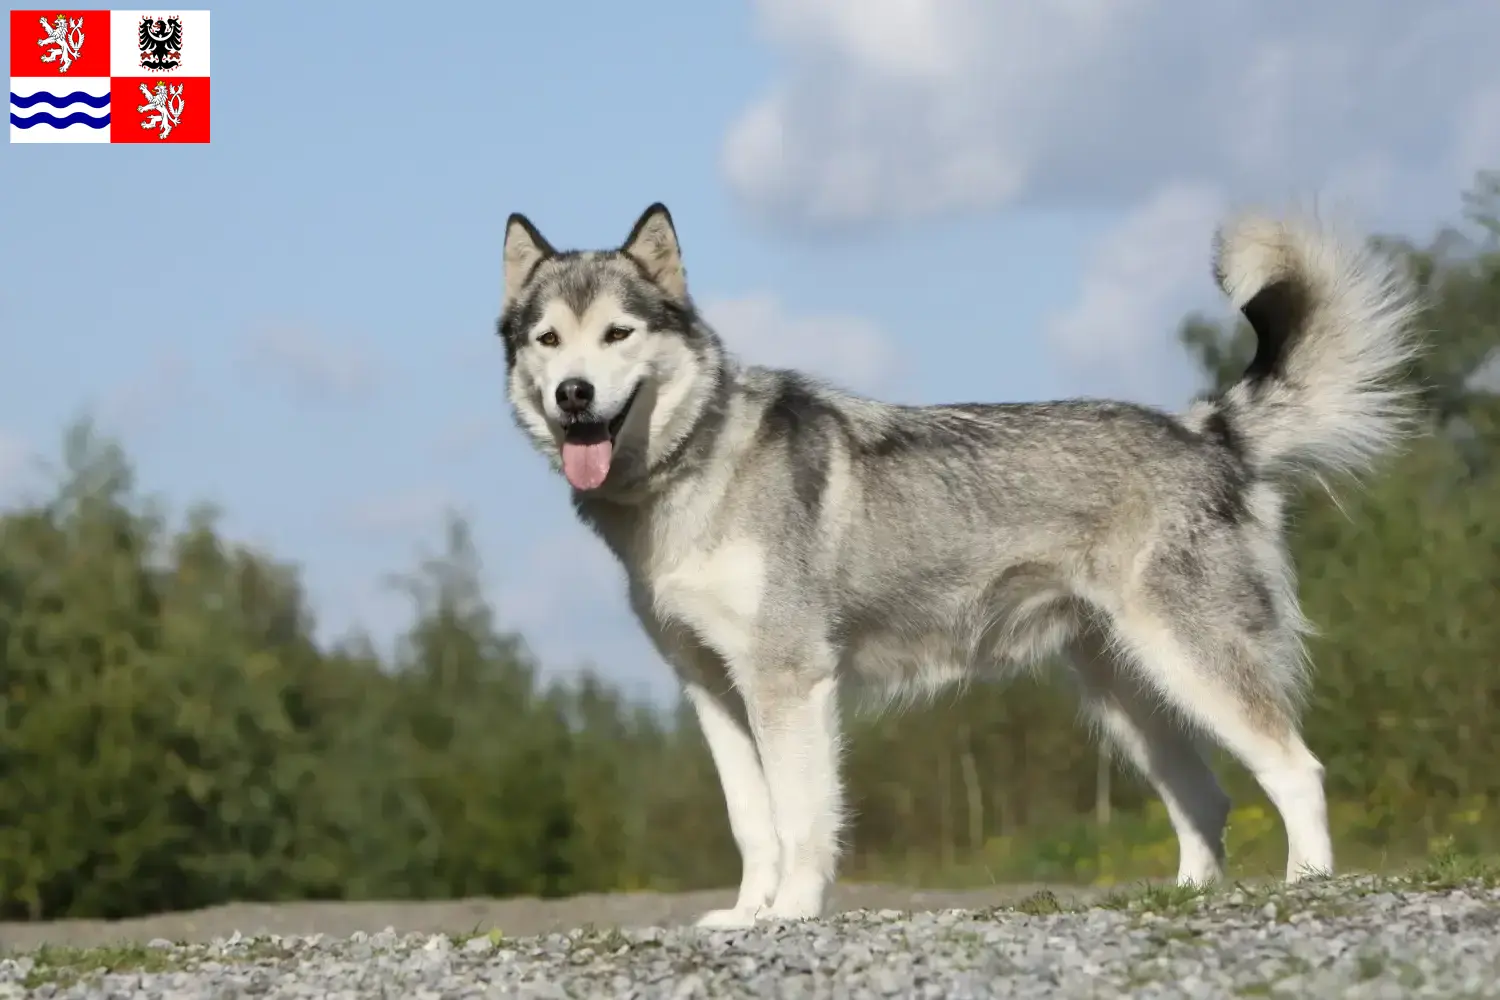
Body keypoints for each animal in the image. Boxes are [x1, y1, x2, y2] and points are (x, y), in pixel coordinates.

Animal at [498, 203, 1422, 929]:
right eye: (549, 340)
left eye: (617, 334)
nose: (574, 395)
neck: (691, 474)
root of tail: (1204, 430)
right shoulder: (712, 690)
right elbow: (751, 821)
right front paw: (746, 915)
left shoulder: (789, 683)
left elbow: (801, 819)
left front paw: (792, 912)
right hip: (1128, 699)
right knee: (1205, 798)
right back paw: (1185, 896)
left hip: (1194, 665)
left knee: (1295, 771)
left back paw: (1306, 886)